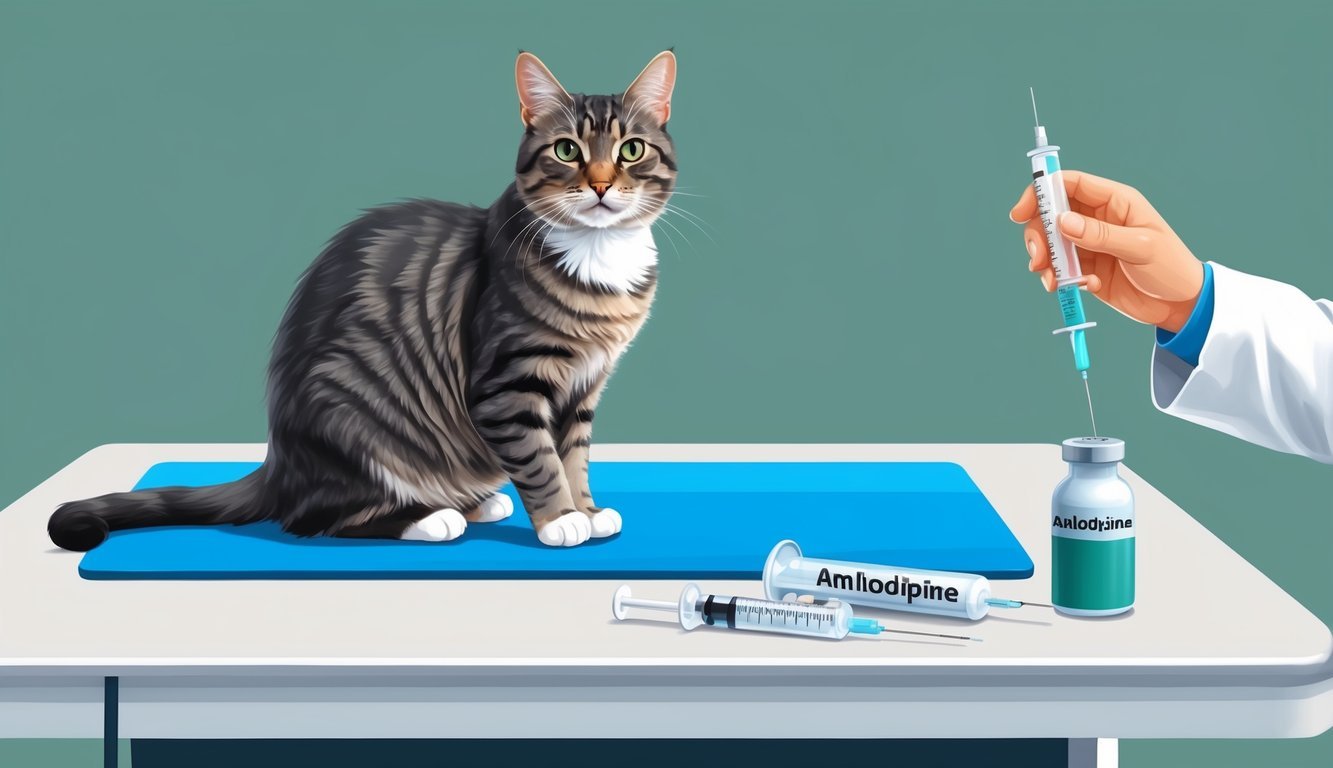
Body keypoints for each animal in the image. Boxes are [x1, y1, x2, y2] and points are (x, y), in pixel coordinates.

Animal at [49, 49, 677, 552]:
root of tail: (279, 465)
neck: (600, 258)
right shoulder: (508, 384)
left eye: (631, 150)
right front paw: (560, 520)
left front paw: (588, 511)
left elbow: (574, 453)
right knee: (320, 518)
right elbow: (542, 458)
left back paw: (474, 501)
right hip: (350, 412)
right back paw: (432, 517)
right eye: (567, 150)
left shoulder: (584, 386)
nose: (600, 183)